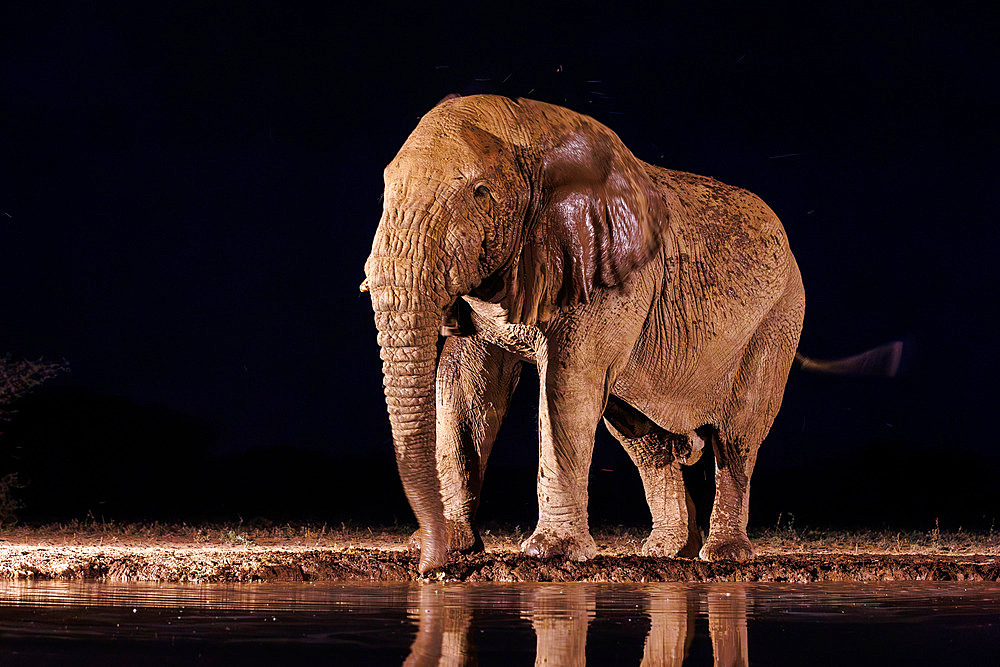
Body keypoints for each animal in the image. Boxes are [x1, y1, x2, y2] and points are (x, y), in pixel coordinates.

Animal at [360, 94, 884, 576]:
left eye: (480, 193)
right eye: (384, 192)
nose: (429, 568)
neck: (528, 129)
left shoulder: (610, 272)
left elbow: (568, 385)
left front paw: (549, 555)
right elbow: (467, 390)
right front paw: (455, 547)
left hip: (778, 318)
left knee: (736, 438)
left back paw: (723, 556)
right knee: (643, 440)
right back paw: (666, 553)